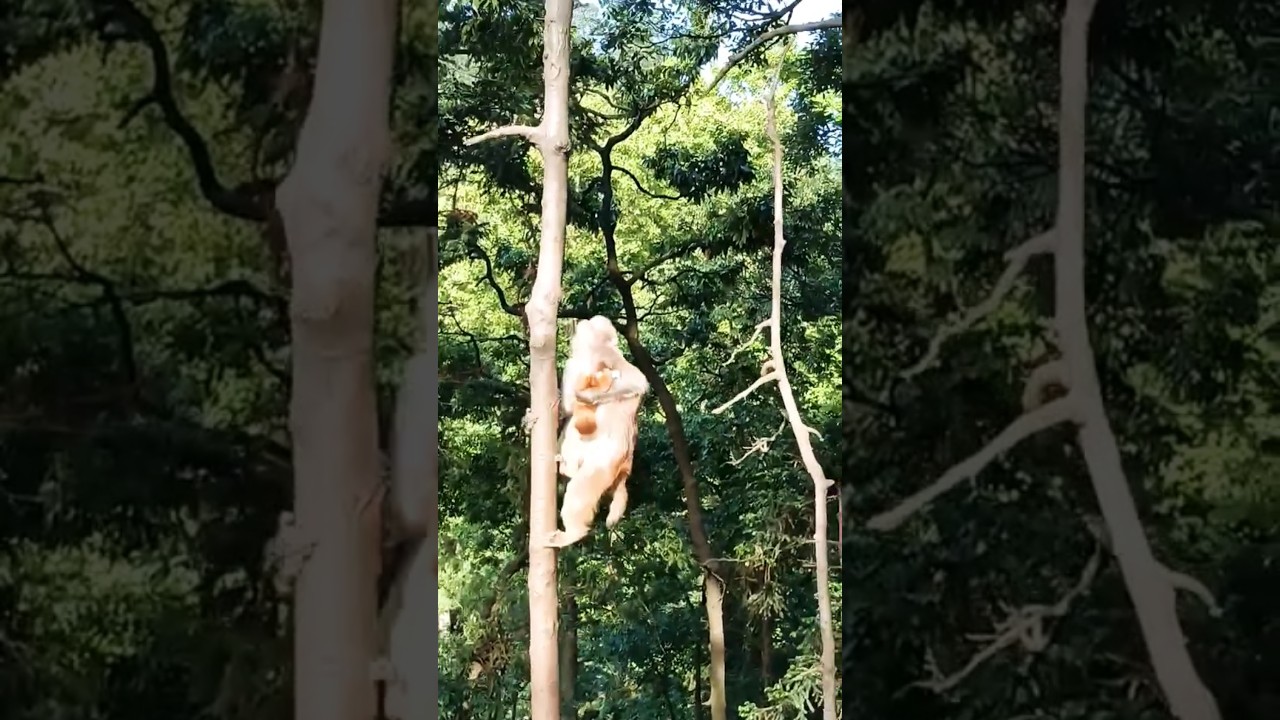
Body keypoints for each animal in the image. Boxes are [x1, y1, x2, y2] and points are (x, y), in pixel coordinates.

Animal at [547, 316, 649, 548]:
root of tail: (625, 466)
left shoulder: (592, 357)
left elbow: (637, 381)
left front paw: (587, 395)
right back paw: (567, 468)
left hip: (605, 460)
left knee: (580, 488)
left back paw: (574, 532)